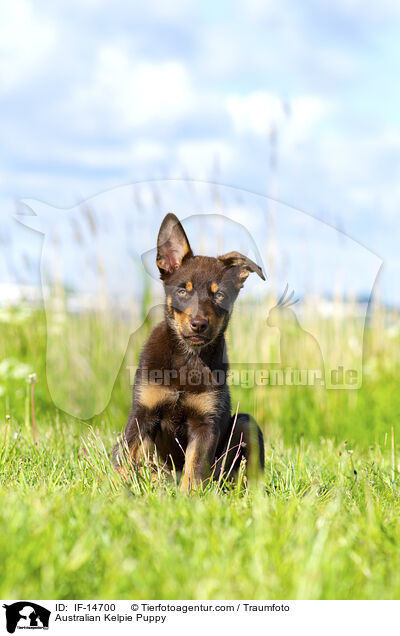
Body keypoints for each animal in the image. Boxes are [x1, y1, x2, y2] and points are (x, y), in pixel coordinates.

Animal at [112, 214, 266, 492]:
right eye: (183, 291)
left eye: (220, 295)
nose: (198, 324)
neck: (188, 357)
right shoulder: (143, 412)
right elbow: (127, 456)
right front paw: (115, 488)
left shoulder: (206, 423)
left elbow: (194, 467)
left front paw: (189, 497)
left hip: (245, 423)